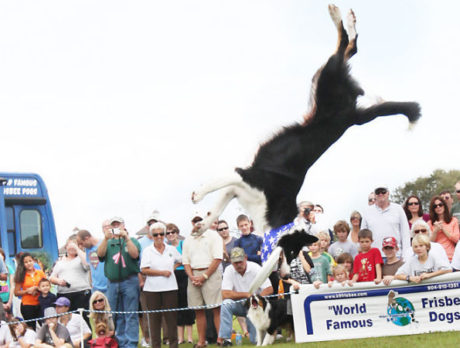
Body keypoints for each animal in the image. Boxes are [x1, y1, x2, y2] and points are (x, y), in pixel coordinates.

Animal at [190, 4, 420, 282]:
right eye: (290, 251)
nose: (285, 275)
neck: (276, 212)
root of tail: (350, 118)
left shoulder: (244, 180)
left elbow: (220, 189)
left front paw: (199, 206)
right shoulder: (241, 183)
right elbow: (216, 202)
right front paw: (201, 218)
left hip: (326, 80)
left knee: (346, 47)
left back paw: (340, 16)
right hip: (327, 80)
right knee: (346, 48)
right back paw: (342, 17)